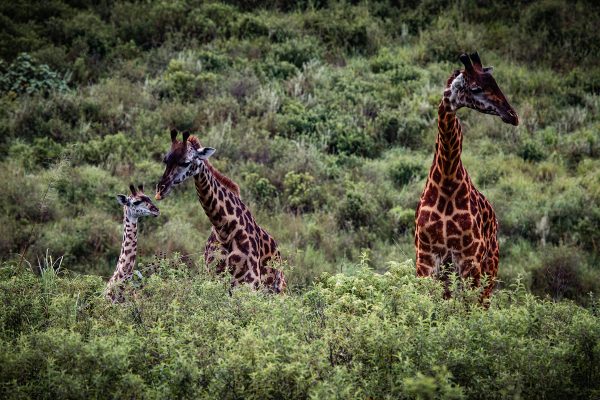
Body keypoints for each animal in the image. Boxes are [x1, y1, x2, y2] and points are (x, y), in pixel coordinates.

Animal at [155, 130, 286, 292]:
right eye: (165, 160)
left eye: (186, 162)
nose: (160, 190)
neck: (224, 230)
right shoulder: (212, 278)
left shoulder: (249, 282)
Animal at [414, 51, 516, 302]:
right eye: (476, 88)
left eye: (495, 83)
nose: (513, 116)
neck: (447, 178)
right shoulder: (427, 259)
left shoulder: (469, 260)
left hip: (489, 269)